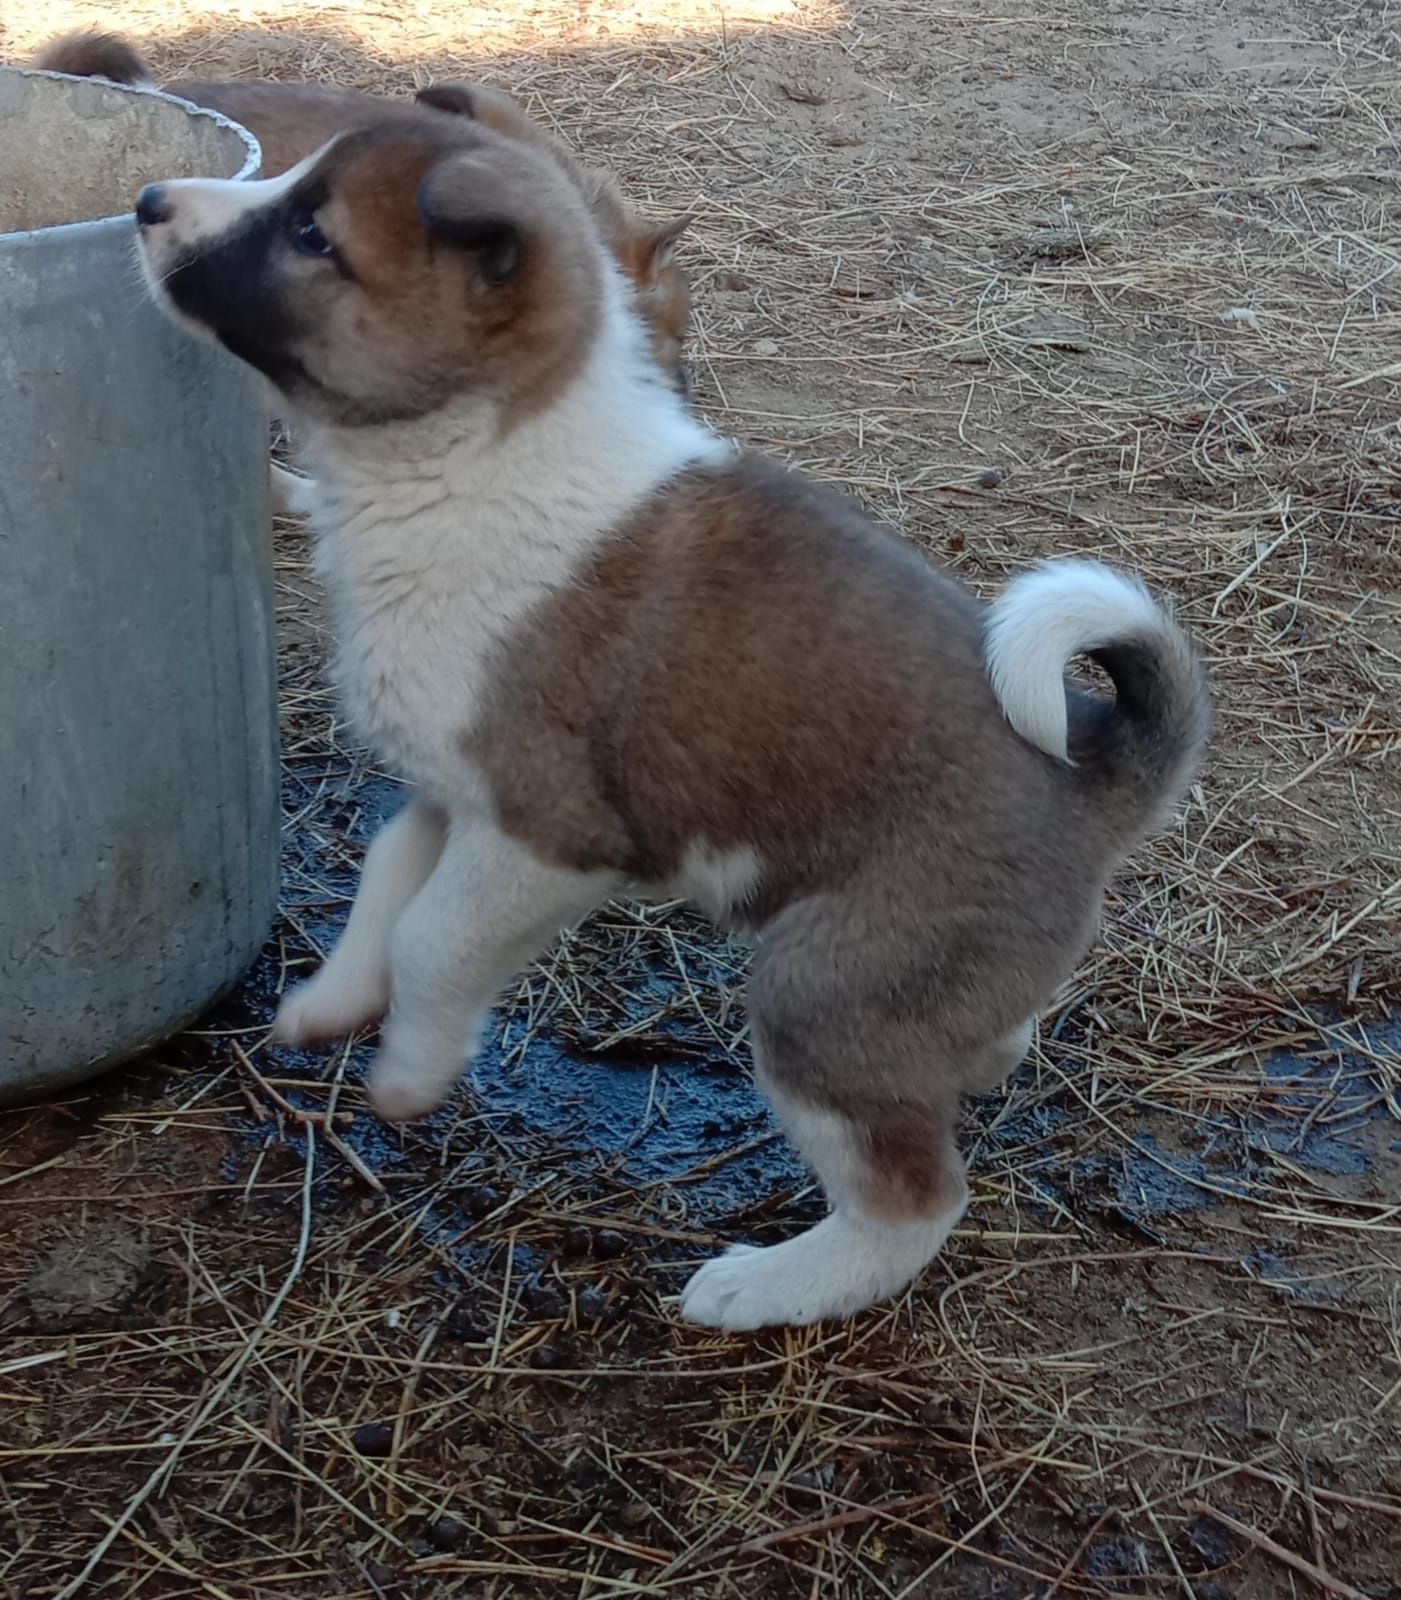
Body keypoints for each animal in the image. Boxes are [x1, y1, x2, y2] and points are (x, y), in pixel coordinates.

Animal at [136, 118, 1209, 1331]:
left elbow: (432, 935)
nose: (147, 201)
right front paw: (333, 1002)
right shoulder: (450, 796)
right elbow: (383, 883)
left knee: (913, 1200)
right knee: (979, 1047)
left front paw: (410, 1072)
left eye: (314, 235)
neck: (466, 460)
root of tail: (1094, 779)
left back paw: (766, 1285)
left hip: (819, 994)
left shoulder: (544, 835)